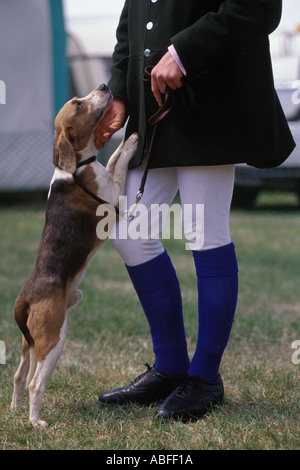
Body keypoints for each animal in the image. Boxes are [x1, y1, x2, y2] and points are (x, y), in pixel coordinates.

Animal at [10, 83, 138, 426]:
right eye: (78, 104)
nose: (104, 86)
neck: (77, 166)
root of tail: (25, 298)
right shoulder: (114, 197)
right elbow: (119, 165)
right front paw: (132, 142)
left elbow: (112, 159)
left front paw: (127, 136)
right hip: (54, 340)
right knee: (34, 382)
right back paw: (36, 421)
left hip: (28, 343)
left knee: (18, 376)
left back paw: (15, 410)